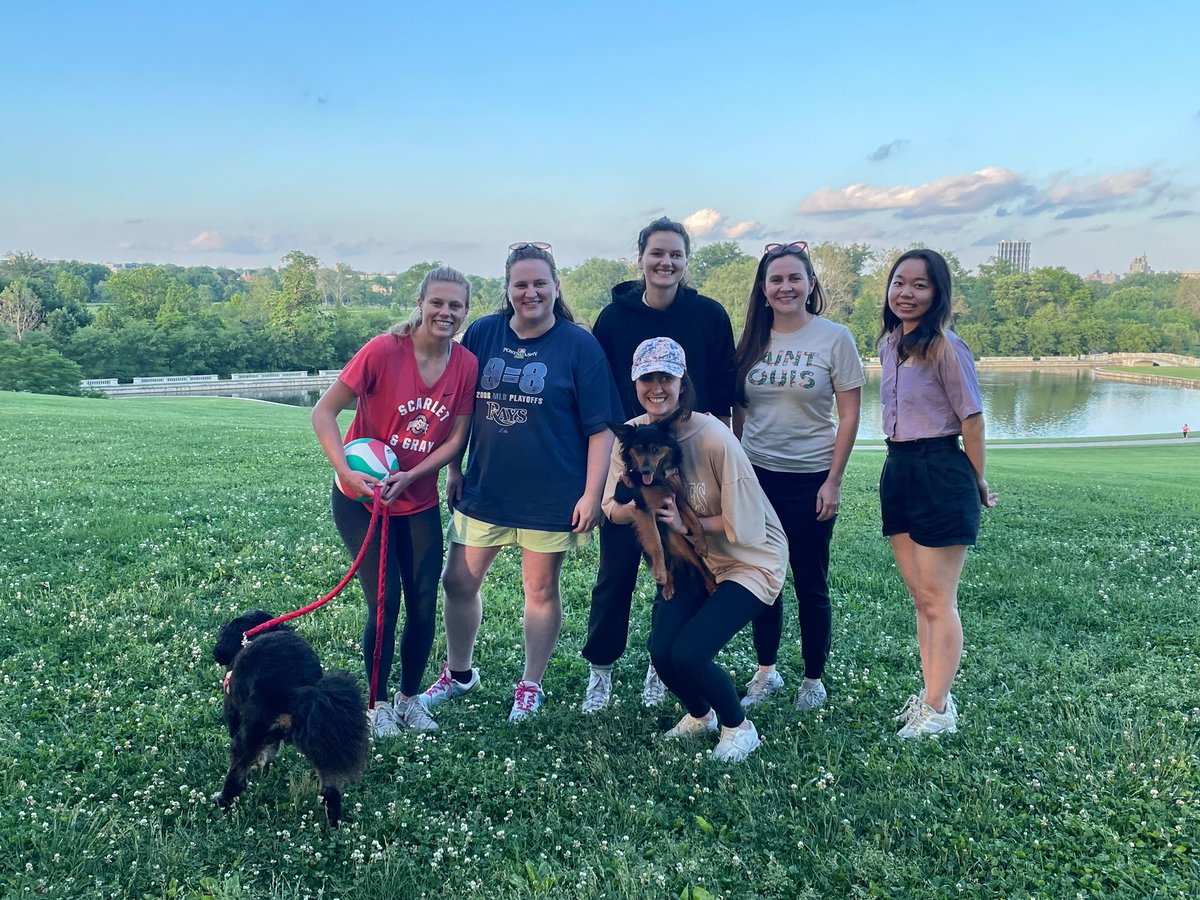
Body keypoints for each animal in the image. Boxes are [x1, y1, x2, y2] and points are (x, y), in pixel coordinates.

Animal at [213, 609, 367, 830]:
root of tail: (295, 687)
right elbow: (270, 752)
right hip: (320, 741)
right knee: (330, 791)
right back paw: (334, 824)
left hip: (249, 733)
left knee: (236, 778)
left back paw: (222, 801)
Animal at [614, 415, 715, 600]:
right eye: (637, 450)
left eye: (654, 450)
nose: (646, 471)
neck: (658, 479)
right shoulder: (643, 510)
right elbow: (656, 543)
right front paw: (660, 573)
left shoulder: (677, 498)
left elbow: (695, 520)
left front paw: (703, 545)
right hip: (644, 546)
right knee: (664, 562)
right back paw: (667, 585)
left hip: (682, 545)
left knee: (699, 565)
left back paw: (711, 585)